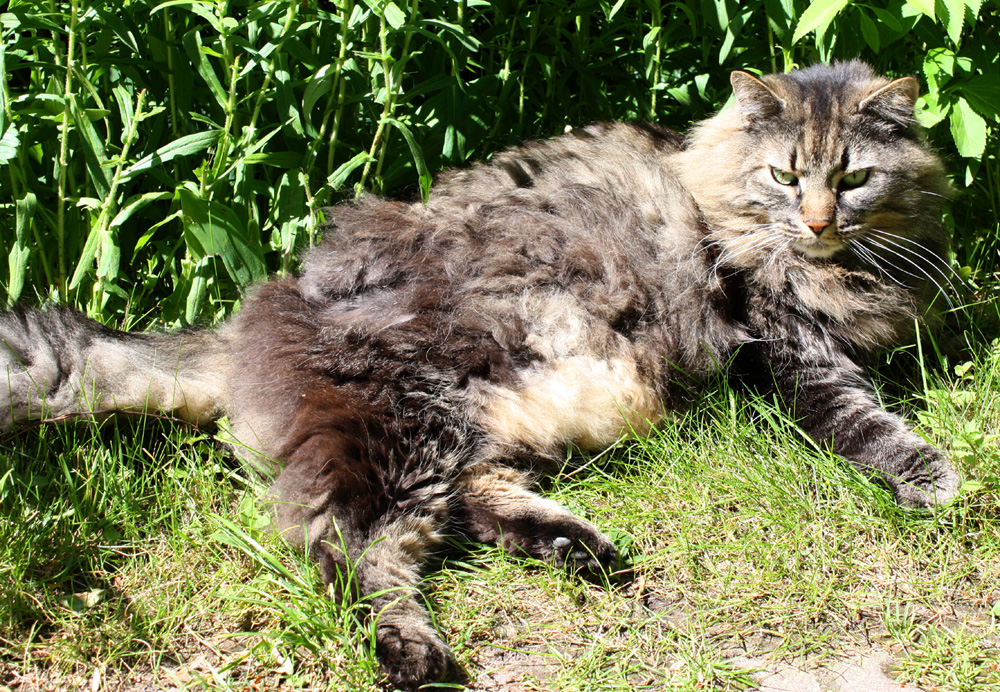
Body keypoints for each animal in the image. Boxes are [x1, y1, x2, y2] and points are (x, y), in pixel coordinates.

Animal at [0, 62, 960, 688]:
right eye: (785, 175)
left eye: (854, 177)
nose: (819, 222)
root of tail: (254, 316)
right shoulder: (784, 349)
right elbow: (862, 420)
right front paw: (933, 477)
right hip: (402, 429)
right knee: (354, 552)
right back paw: (416, 656)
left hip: (503, 416)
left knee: (471, 500)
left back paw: (578, 548)